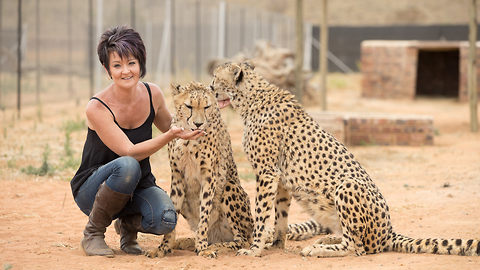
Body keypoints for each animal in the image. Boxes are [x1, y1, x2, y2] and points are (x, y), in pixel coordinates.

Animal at [211, 60, 480, 258]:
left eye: (215, 79)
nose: (211, 90)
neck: (251, 100)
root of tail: (389, 231)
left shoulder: (266, 172)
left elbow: (262, 213)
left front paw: (254, 249)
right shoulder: (280, 178)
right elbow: (279, 216)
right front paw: (274, 245)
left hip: (347, 185)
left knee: (356, 248)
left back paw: (319, 249)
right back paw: (326, 238)